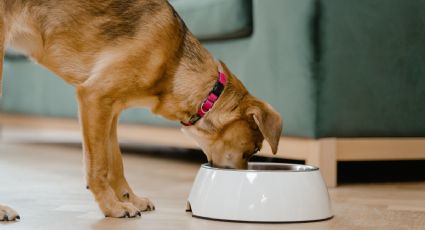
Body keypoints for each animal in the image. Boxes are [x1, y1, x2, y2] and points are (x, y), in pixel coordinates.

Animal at [1, 0, 284, 220]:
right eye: (254, 149)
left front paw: (129, 199)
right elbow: (98, 166)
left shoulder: (110, 110)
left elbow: (116, 162)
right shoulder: (94, 97)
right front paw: (112, 207)